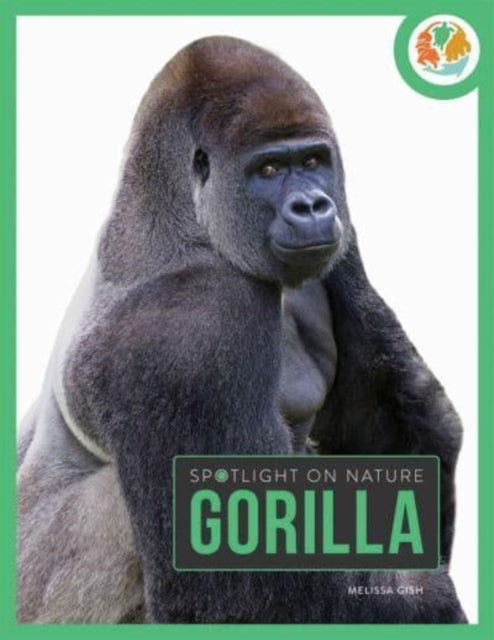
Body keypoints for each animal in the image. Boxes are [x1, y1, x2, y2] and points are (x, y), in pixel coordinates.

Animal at [17, 36, 465, 623]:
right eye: (269, 170)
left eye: (313, 161)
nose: (312, 205)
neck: (183, 219)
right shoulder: (194, 330)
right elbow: (241, 587)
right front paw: (428, 598)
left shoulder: (343, 243)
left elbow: (396, 435)